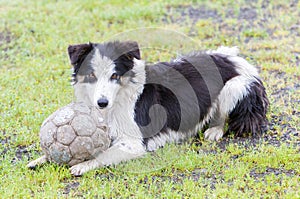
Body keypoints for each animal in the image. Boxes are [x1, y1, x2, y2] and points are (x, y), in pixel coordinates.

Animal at [28, 40, 268, 176]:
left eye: (114, 76)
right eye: (91, 76)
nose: (101, 103)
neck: (116, 101)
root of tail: (234, 57)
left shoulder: (134, 143)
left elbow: (104, 154)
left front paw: (84, 164)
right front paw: (42, 159)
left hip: (235, 86)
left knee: (224, 116)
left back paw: (215, 130)